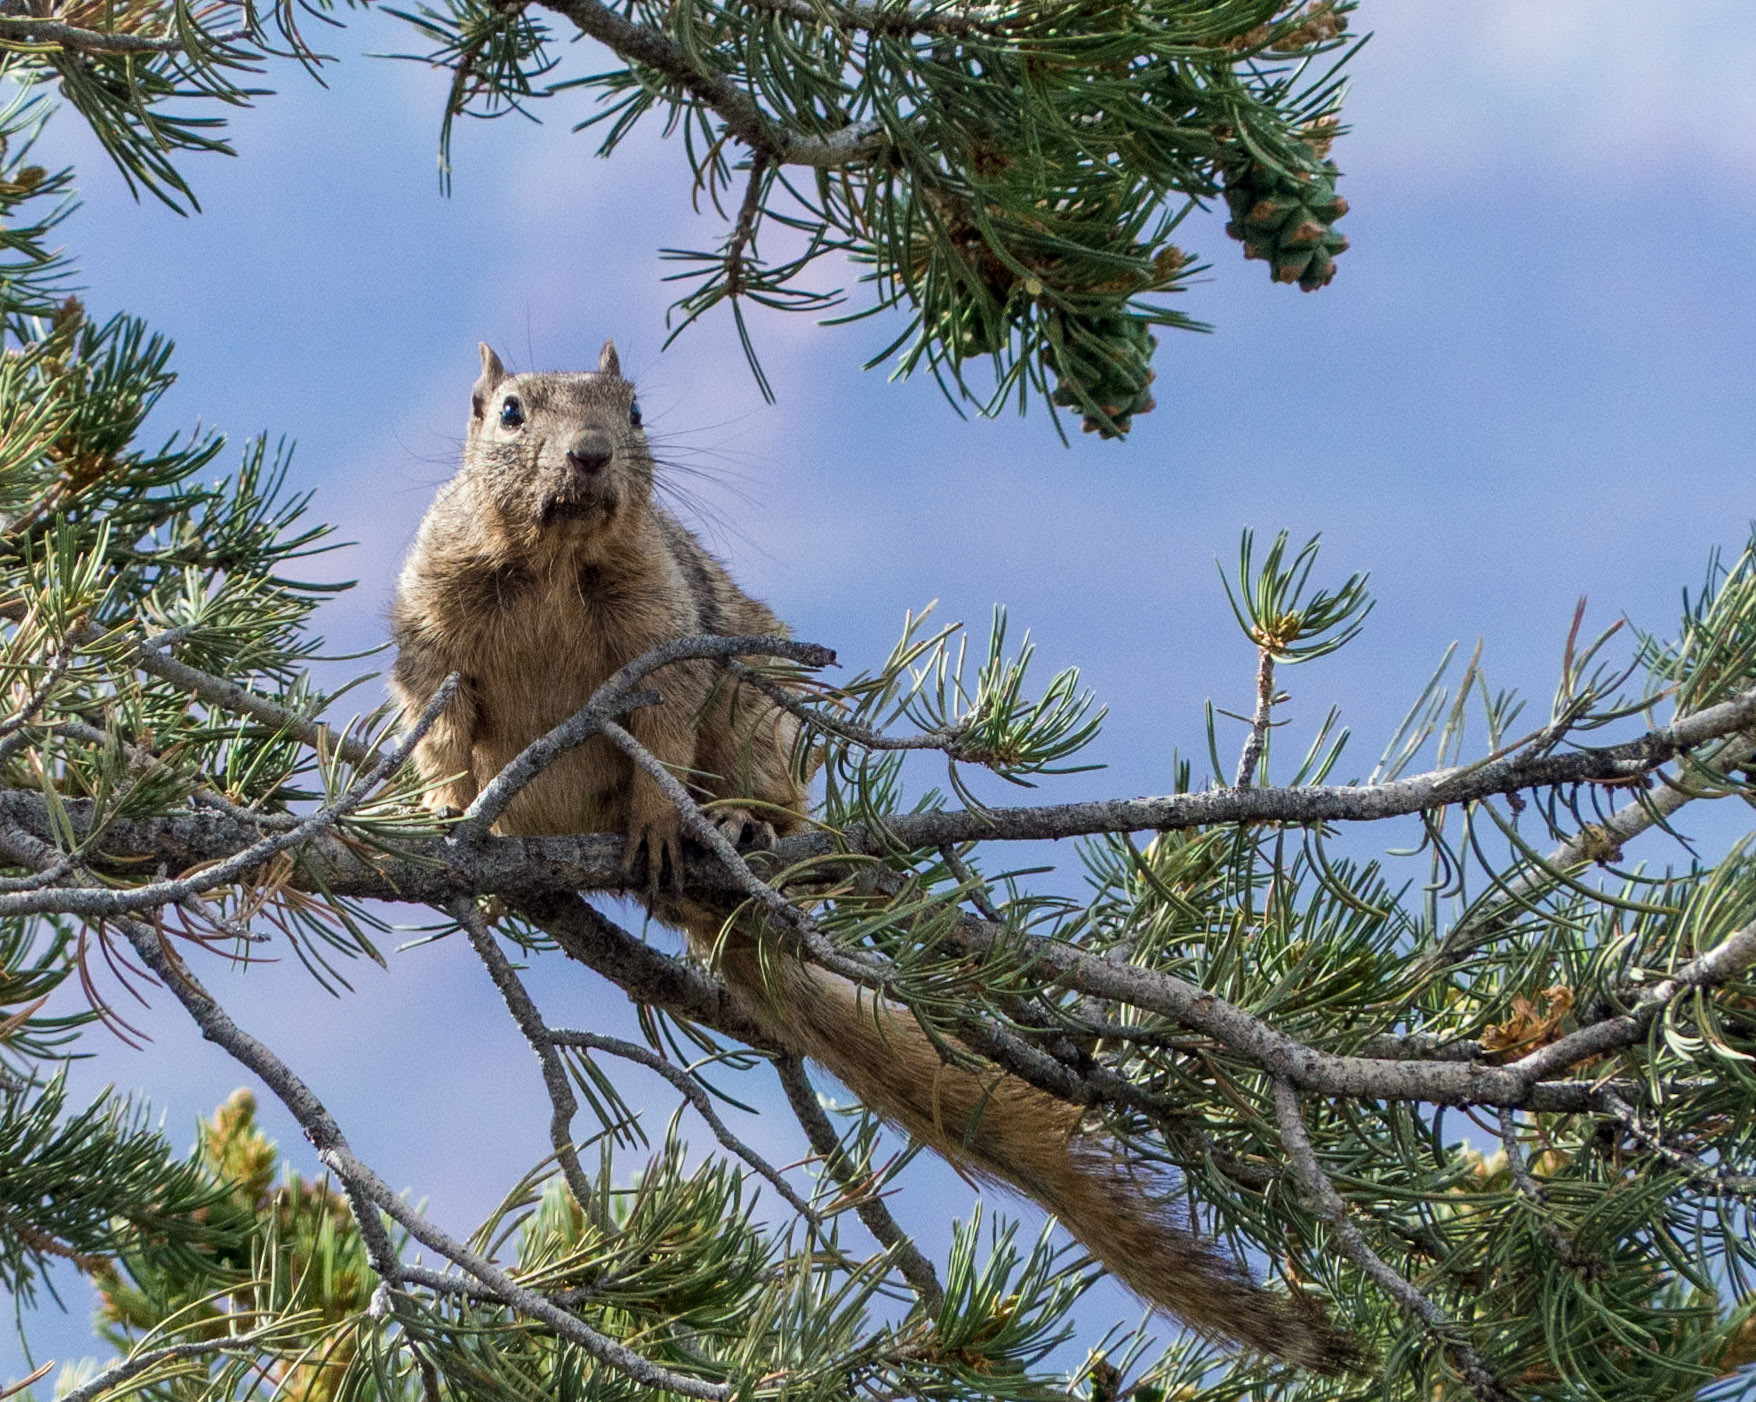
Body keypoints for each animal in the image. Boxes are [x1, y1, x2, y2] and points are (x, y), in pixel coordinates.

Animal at [389, 342, 1356, 1372]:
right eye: (509, 412)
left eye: (636, 411)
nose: (591, 454)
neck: (553, 563)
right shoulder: (431, 631)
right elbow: (439, 721)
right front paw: (447, 808)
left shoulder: (669, 630)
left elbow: (665, 723)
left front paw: (657, 821)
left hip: (757, 712)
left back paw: (737, 833)